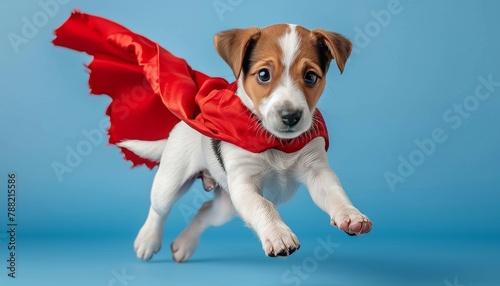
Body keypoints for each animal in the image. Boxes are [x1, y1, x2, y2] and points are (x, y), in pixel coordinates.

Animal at [117, 23, 372, 262]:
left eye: (310, 77)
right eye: (263, 75)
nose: (291, 116)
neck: (277, 142)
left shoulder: (317, 171)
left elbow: (335, 193)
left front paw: (350, 214)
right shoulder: (244, 185)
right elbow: (264, 206)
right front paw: (279, 235)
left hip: (227, 205)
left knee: (205, 210)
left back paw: (183, 245)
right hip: (172, 180)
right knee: (158, 209)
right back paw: (147, 240)